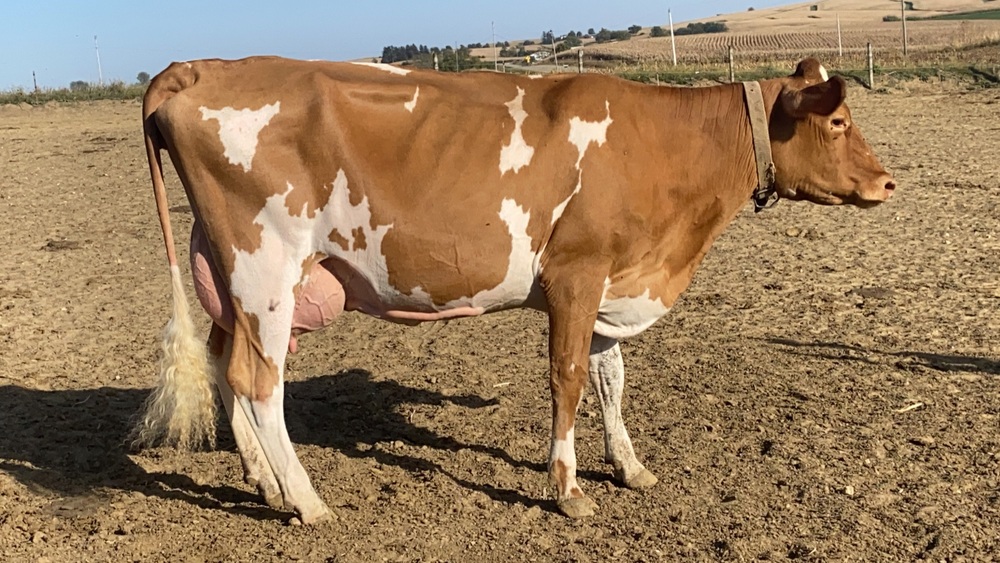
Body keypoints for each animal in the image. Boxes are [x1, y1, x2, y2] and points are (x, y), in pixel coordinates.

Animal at [133, 56, 895, 524]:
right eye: (837, 122)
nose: (889, 182)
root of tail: (206, 67)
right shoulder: (576, 275)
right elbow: (568, 380)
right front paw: (568, 488)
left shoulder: (611, 281)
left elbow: (612, 378)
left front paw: (630, 466)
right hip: (265, 271)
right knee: (260, 382)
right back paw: (306, 499)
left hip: (232, 279)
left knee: (227, 365)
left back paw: (264, 483)